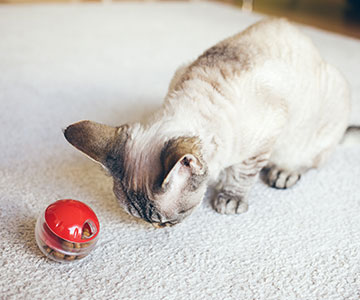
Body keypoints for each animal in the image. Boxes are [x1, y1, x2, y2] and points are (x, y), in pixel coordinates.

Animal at [63, 17, 356, 227]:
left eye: (168, 220)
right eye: (143, 219)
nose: (158, 228)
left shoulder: (265, 138)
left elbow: (242, 174)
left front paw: (230, 198)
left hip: (317, 119)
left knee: (309, 160)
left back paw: (283, 172)